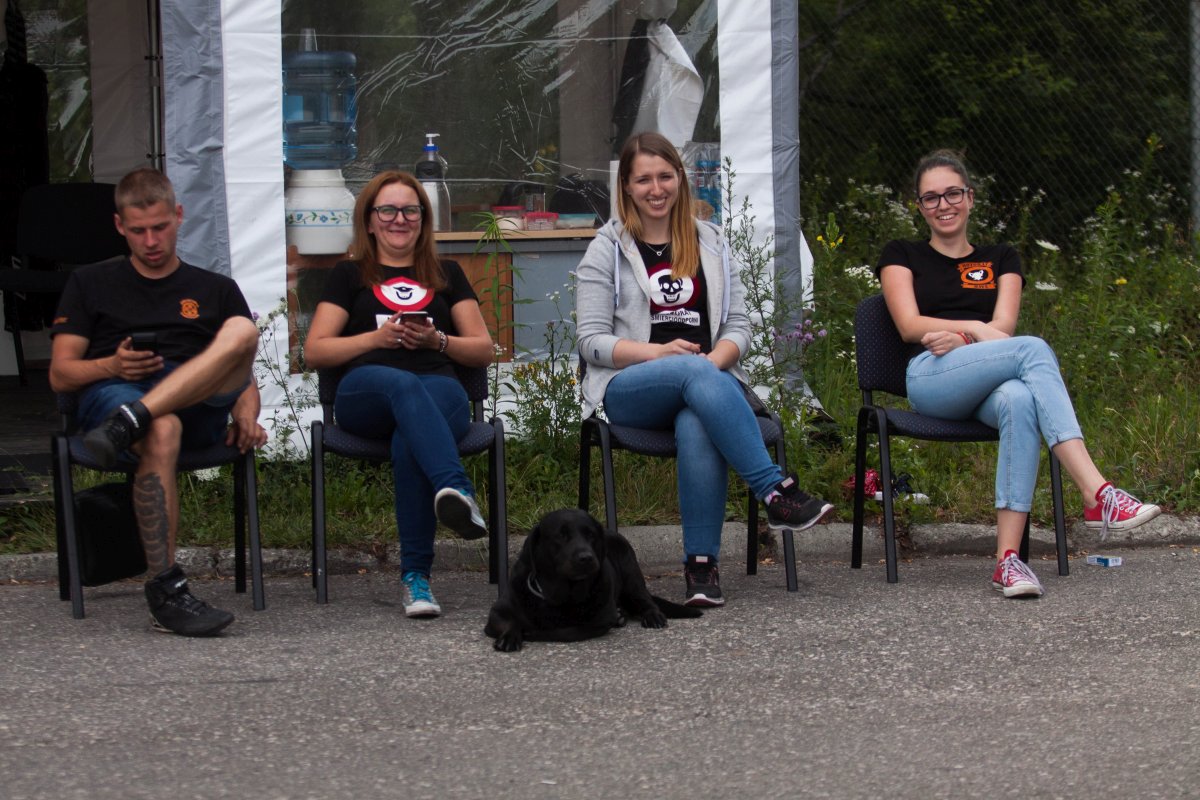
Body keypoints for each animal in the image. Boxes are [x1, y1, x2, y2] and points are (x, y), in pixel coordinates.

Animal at [485, 509, 702, 652]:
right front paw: (510, 636)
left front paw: (532, 633)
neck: (562, 596)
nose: (586, 558)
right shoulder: (497, 612)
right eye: (561, 535)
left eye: (591, 535)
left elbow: (566, 632)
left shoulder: (597, 624)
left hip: (631, 573)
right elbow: (510, 621)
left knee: (645, 599)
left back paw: (650, 615)